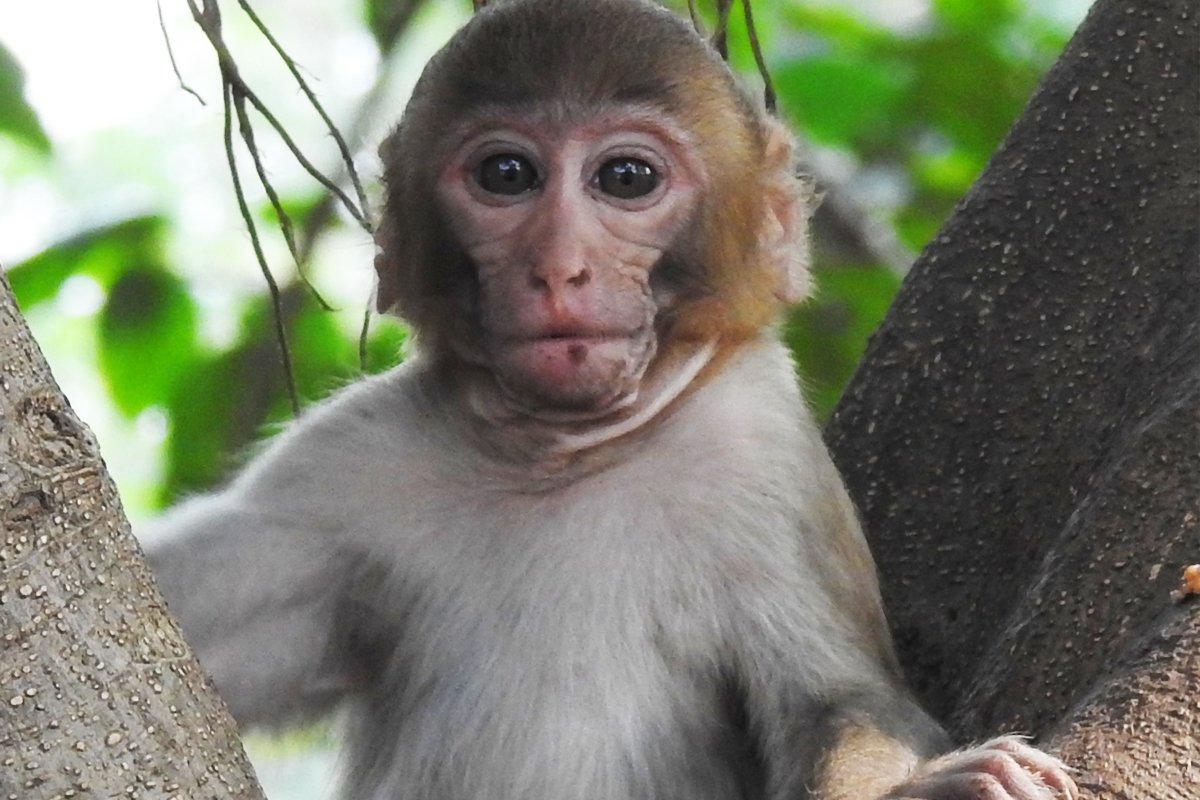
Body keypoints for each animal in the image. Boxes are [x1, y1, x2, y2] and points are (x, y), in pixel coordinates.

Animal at [141, 1, 1078, 798]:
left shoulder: (760, 452)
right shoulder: (341, 468)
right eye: (507, 174)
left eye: (625, 177)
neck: (560, 456)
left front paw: (934, 784)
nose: (559, 266)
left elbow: (838, 701)